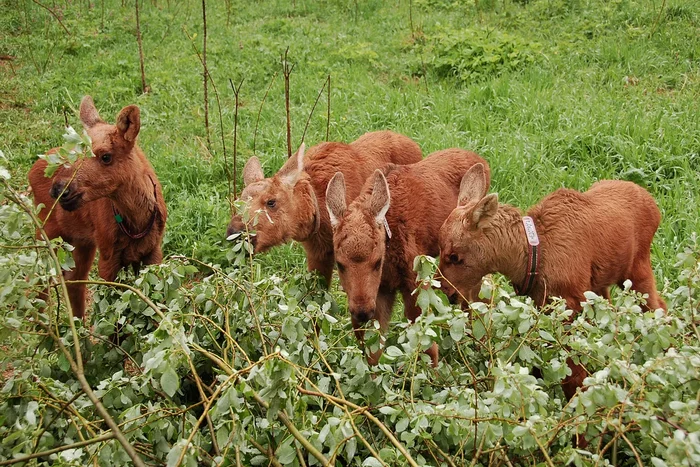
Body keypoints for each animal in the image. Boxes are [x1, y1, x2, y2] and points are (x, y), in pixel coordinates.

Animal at [28, 96, 167, 320]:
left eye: (106, 156)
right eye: (74, 153)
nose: (59, 189)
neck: (137, 223)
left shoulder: (153, 251)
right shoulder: (108, 254)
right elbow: (114, 310)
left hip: (81, 241)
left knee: (73, 280)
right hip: (47, 232)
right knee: (37, 283)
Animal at [325, 149, 490, 366]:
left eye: (377, 262)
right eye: (339, 263)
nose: (362, 311)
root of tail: (482, 162)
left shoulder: (414, 280)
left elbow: (427, 345)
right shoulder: (382, 290)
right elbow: (372, 351)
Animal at [437, 163, 666, 399]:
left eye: (454, 256)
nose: (445, 289)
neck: (530, 260)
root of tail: (653, 205)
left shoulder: (570, 305)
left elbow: (573, 374)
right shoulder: (543, 306)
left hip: (637, 269)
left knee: (658, 307)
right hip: (601, 285)